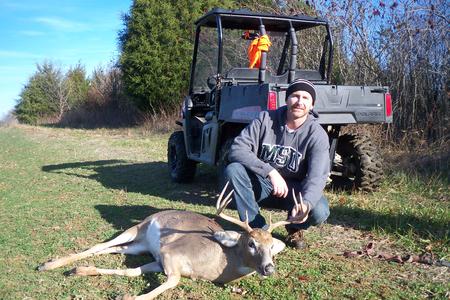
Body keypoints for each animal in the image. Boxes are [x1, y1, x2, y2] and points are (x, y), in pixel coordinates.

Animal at [38, 183, 308, 300]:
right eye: (251, 243)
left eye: (272, 246)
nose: (269, 268)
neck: (221, 263)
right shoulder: (169, 253)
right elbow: (172, 282)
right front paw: (127, 297)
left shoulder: (159, 260)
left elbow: (132, 272)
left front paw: (82, 271)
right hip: (138, 228)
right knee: (100, 245)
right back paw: (48, 264)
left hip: (141, 245)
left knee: (114, 250)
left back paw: (73, 267)